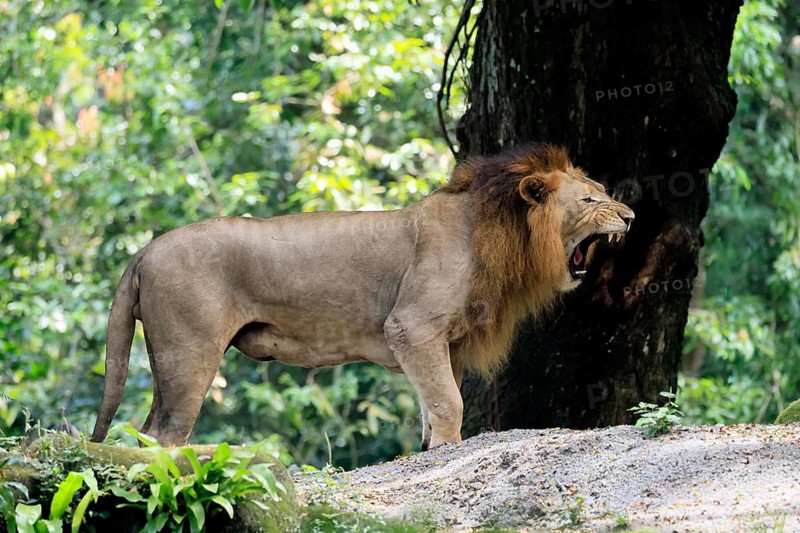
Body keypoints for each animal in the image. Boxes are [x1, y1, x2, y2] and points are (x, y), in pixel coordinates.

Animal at [91, 144, 634, 450]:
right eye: (590, 199)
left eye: (603, 191)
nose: (630, 217)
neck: (497, 230)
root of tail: (143, 251)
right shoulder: (412, 326)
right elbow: (449, 403)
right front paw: (447, 451)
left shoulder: (447, 343)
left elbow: (433, 403)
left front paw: (429, 447)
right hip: (189, 353)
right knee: (163, 435)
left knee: (144, 434)